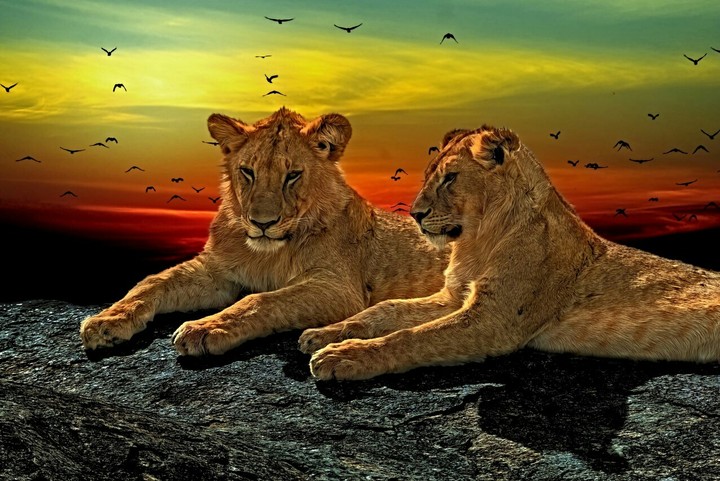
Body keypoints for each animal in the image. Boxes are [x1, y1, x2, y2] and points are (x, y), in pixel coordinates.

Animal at [80, 107, 448, 355]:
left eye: (293, 175)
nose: (262, 223)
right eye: (248, 171)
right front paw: (106, 321)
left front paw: (205, 327)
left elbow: (260, 300)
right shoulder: (217, 271)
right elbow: (153, 281)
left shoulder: (339, 288)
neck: (268, 253)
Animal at [300, 124, 720, 380]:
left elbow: (412, 337)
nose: (415, 215)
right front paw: (324, 333)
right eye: (428, 176)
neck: (477, 241)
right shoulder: (453, 297)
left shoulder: (495, 320)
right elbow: (385, 310)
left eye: (450, 178)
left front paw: (344, 356)